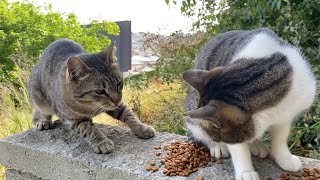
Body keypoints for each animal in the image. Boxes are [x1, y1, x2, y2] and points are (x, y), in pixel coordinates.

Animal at [27, 39, 155, 153]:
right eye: (100, 91)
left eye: (119, 83)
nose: (117, 100)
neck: (90, 106)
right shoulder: (74, 119)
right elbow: (88, 128)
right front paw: (101, 142)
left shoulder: (117, 105)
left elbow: (129, 115)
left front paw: (142, 128)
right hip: (38, 97)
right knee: (43, 111)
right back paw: (44, 121)